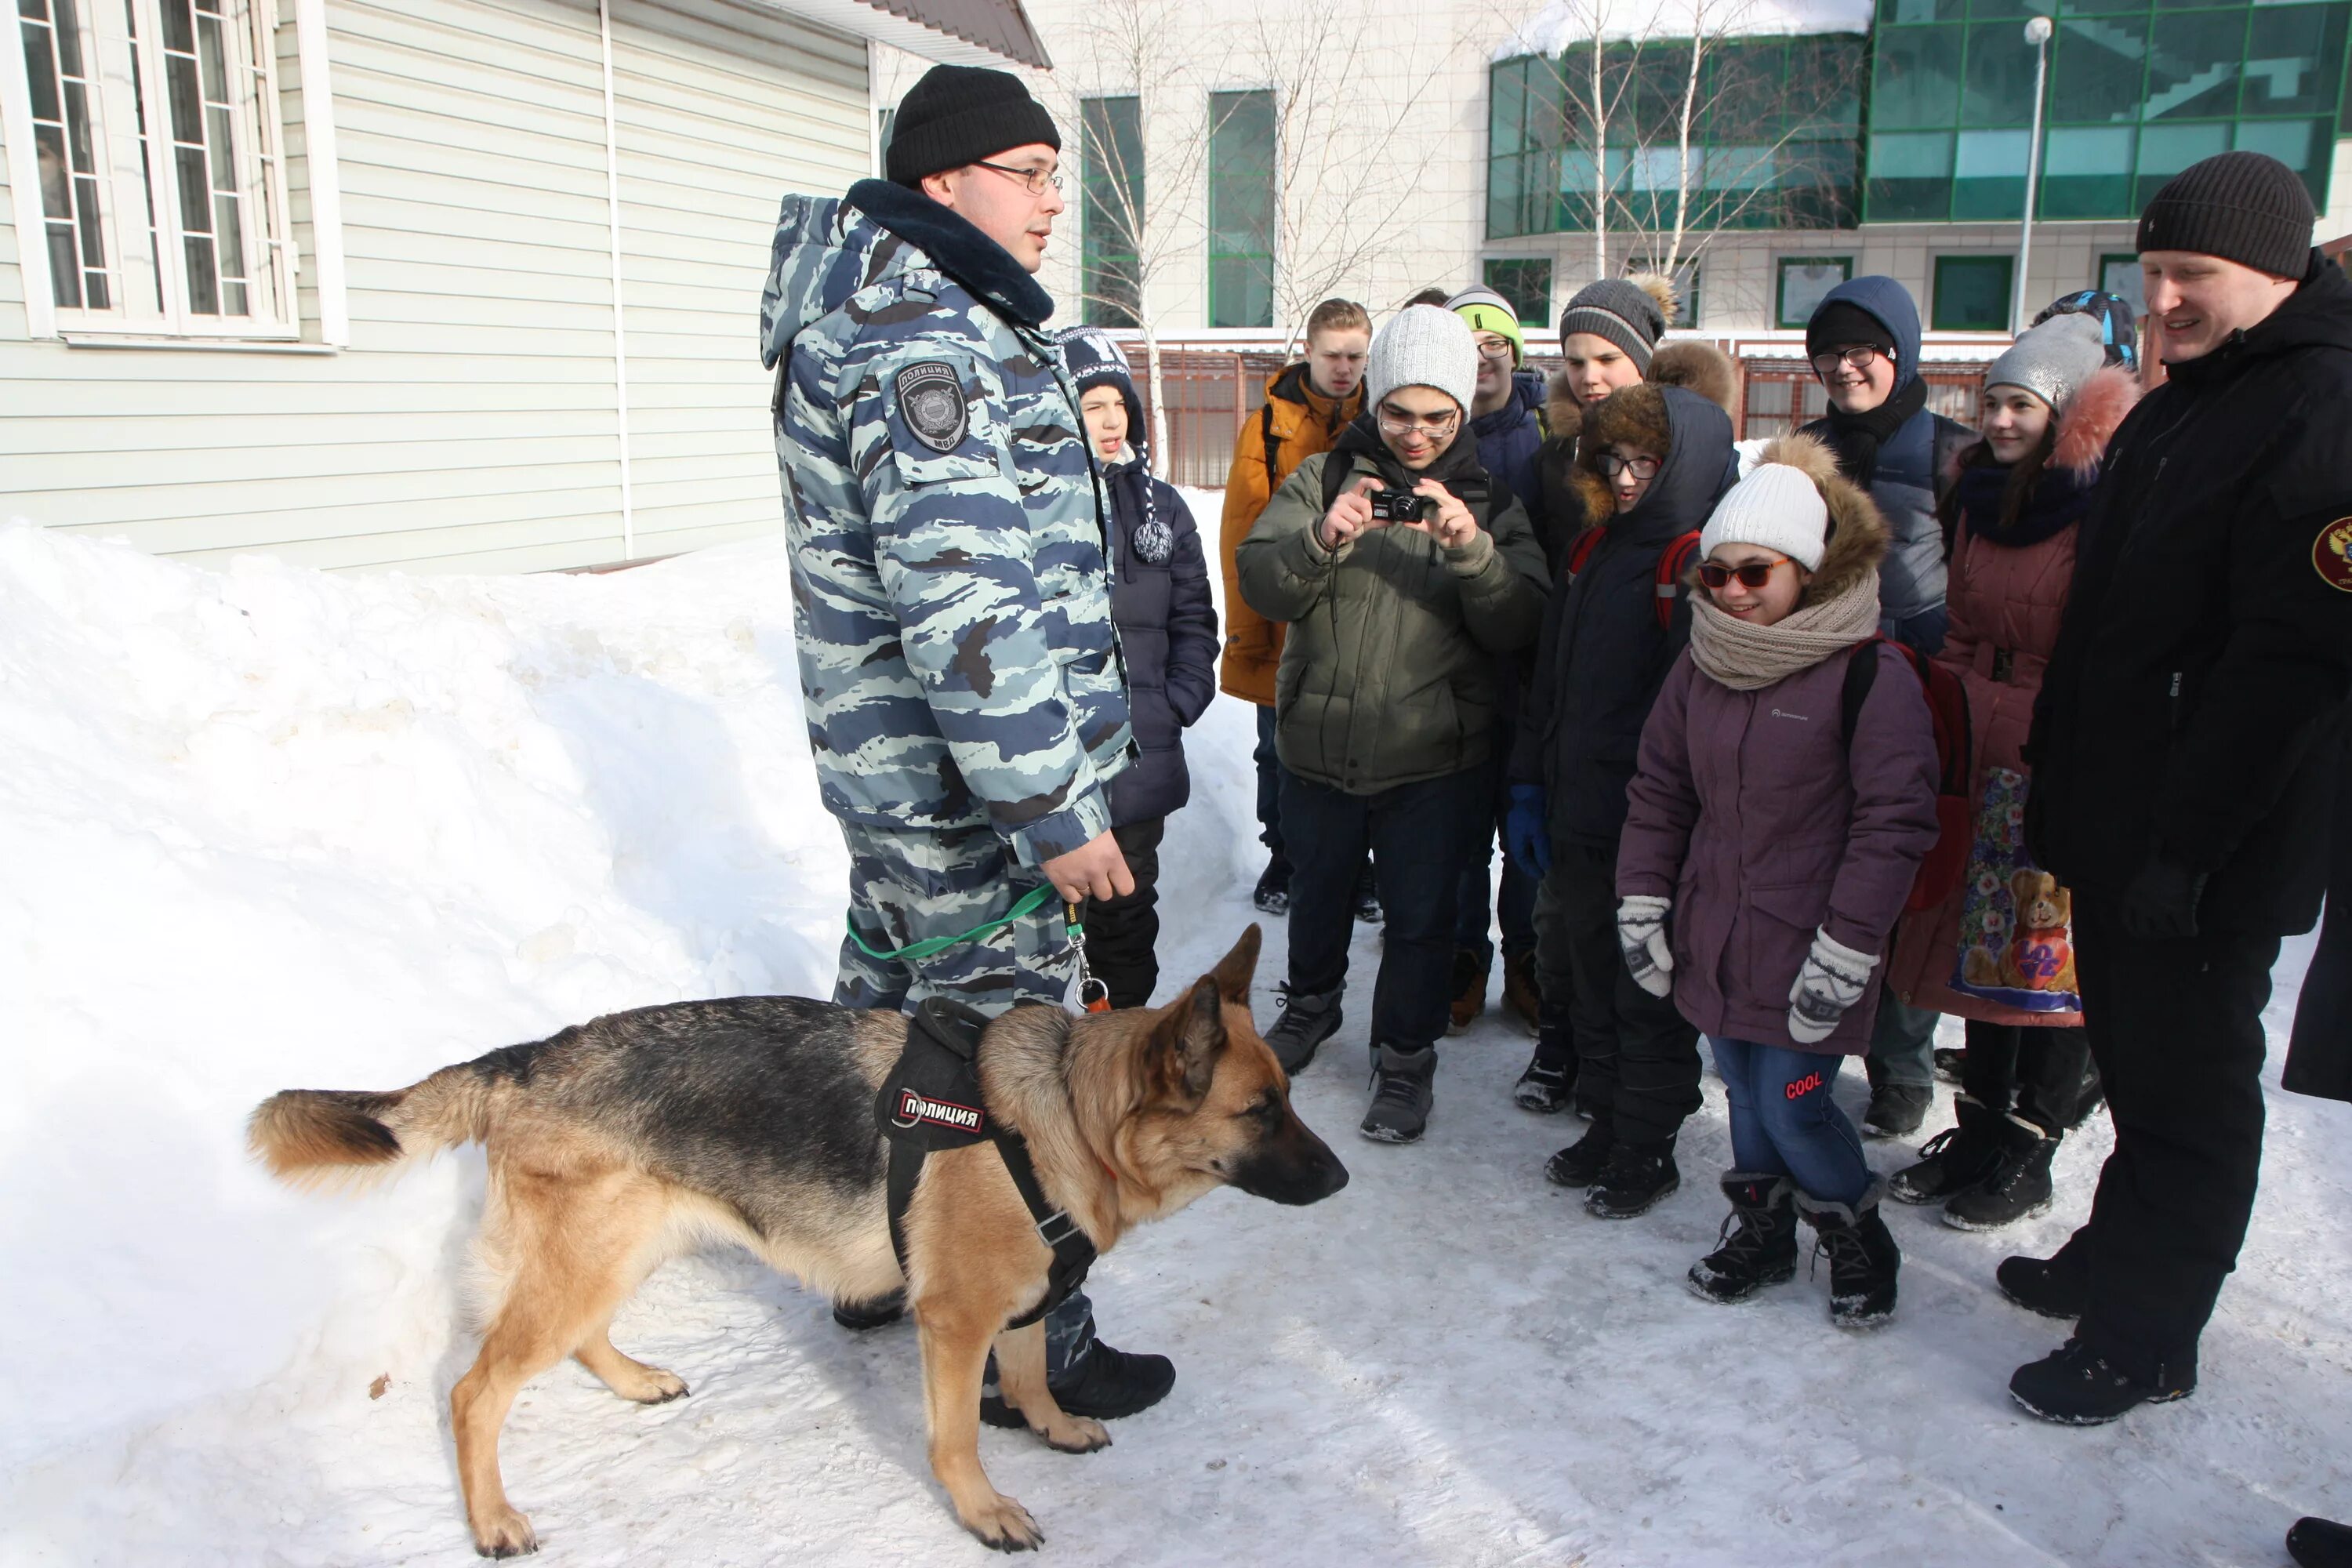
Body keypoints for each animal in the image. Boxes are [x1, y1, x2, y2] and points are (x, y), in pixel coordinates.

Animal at [252, 926, 1345, 1552]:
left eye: (1286, 1098)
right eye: (1260, 1111)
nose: (1341, 1180)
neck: (1063, 1118)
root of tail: (524, 1056)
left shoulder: (1026, 1295)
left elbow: (1034, 1368)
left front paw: (1052, 1424)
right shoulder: (955, 1323)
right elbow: (956, 1433)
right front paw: (983, 1508)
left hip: (620, 1249)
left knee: (572, 1339)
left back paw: (637, 1378)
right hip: (589, 1260)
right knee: (476, 1390)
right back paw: (493, 1520)